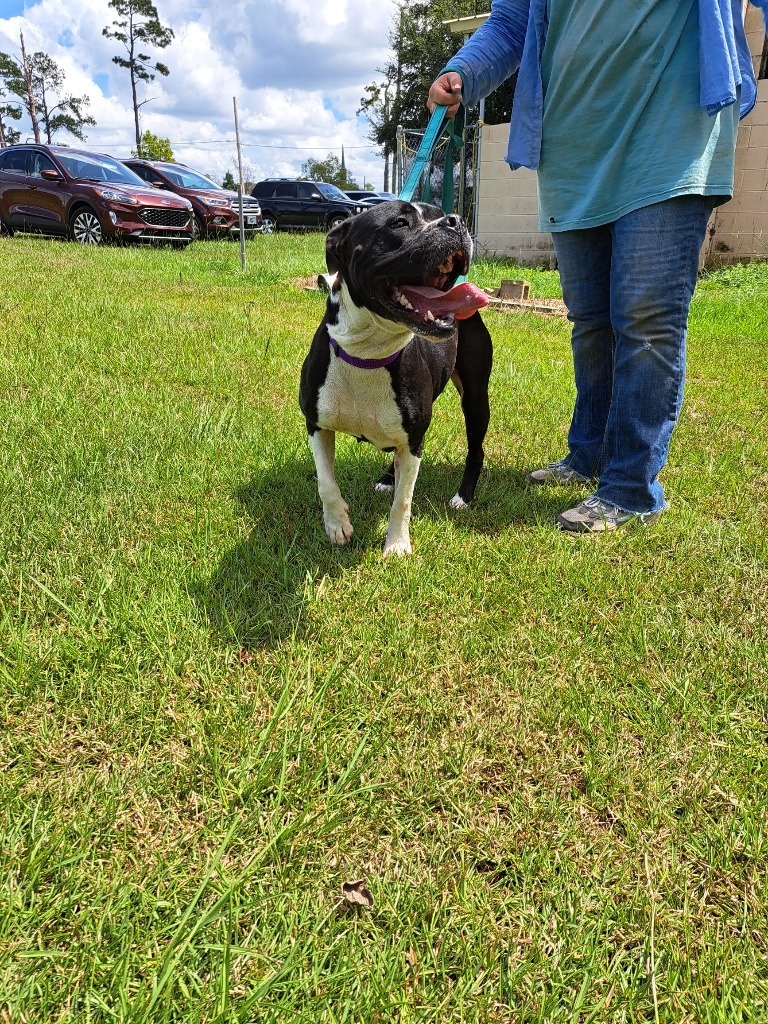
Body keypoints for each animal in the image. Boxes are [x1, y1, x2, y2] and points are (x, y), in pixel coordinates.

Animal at [299, 197, 493, 552]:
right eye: (399, 223)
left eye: (437, 215)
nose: (456, 220)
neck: (368, 353)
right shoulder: (317, 424)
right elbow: (326, 483)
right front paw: (337, 525)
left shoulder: (415, 439)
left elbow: (404, 499)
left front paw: (397, 545)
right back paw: (388, 478)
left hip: (475, 398)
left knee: (475, 448)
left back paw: (462, 496)